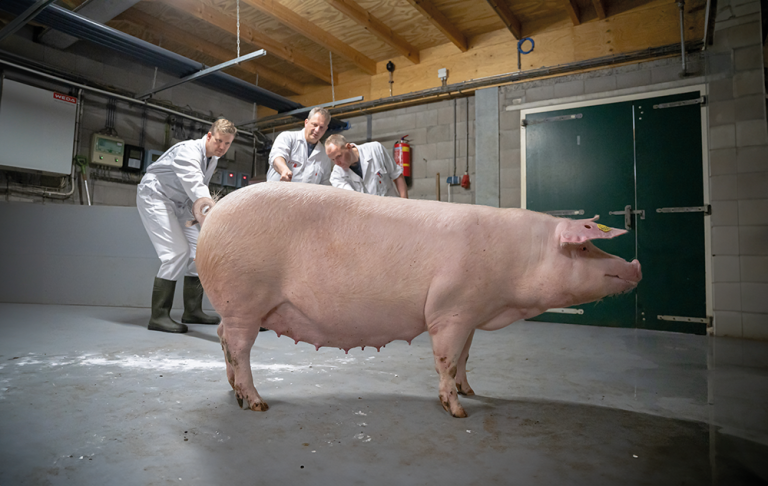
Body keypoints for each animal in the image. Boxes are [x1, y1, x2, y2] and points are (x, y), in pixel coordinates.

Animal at [195, 182, 641, 418]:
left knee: (222, 339)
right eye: (584, 248)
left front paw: (470, 391)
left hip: (236, 306)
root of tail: (214, 211)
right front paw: (458, 411)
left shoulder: (471, 313)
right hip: (244, 297)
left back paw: (234, 393)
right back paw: (257, 403)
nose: (636, 265)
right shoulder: (450, 308)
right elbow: (445, 357)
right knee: (238, 347)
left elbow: (465, 356)